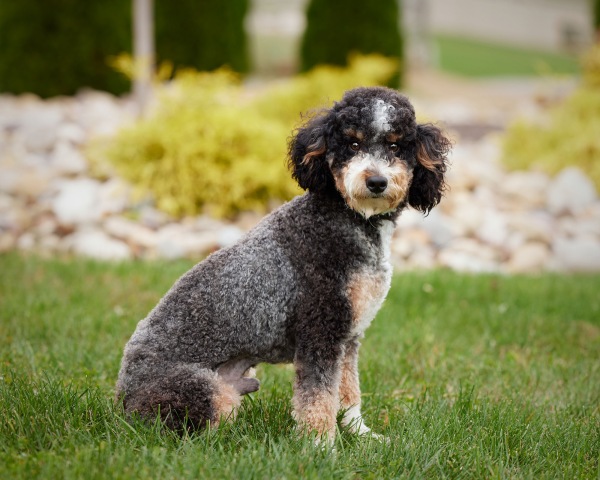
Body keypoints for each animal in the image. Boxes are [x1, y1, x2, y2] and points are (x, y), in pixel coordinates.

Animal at [116, 85, 450, 442]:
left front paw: (360, 434)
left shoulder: (348, 336)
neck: (348, 219)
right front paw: (320, 444)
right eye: (353, 144)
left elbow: (348, 392)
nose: (376, 182)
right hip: (201, 390)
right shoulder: (320, 333)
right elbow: (318, 397)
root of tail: (121, 400)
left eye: (395, 145)